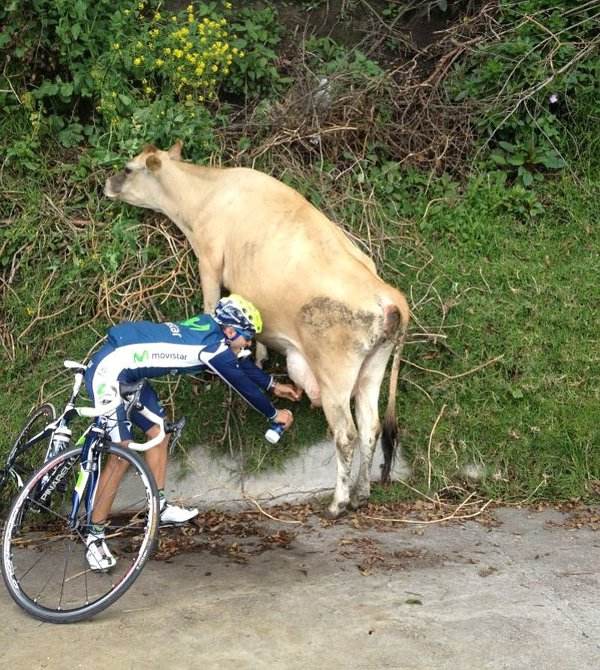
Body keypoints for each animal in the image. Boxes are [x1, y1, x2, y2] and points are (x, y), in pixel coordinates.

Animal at [105, 142, 410, 520]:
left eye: (128, 168)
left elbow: (210, 304)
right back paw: (361, 494)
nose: (107, 183)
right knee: (370, 429)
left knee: (347, 435)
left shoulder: (209, 259)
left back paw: (338, 502)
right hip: (372, 369)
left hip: (335, 375)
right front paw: (259, 358)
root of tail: (388, 296)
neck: (207, 192)